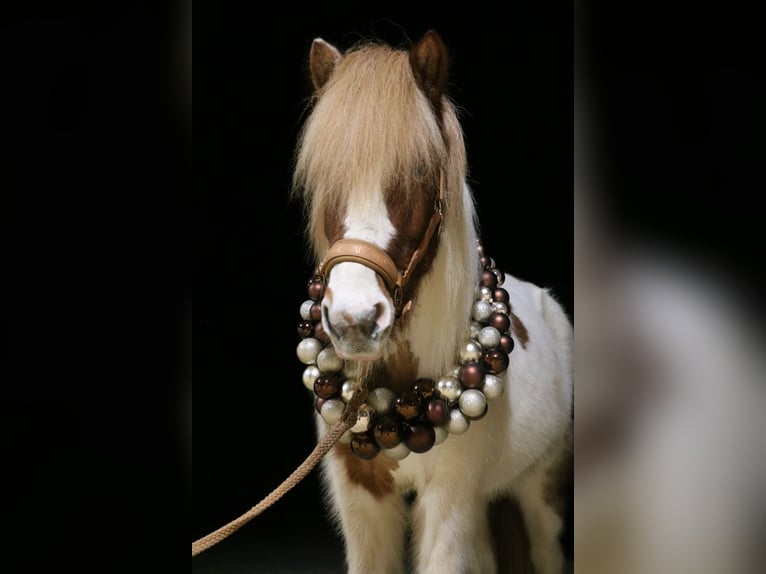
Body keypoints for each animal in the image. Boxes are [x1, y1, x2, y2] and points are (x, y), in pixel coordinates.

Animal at [291, 30, 573, 574]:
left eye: (420, 170)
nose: (355, 320)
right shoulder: (361, 500)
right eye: (324, 178)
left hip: (540, 494)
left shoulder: (451, 496)